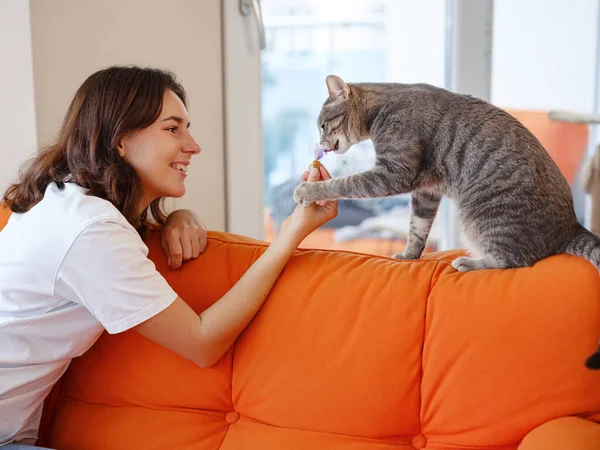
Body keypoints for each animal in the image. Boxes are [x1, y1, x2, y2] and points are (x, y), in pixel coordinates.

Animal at [292, 74, 600, 370]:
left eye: (322, 126)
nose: (320, 145)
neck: (382, 108)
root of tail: (571, 225)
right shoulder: (426, 190)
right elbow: (417, 228)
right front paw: (409, 255)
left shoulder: (393, 173)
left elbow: (346, 183)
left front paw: (310, 190)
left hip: (481, 214)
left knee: (512, 260)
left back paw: (469, 262)